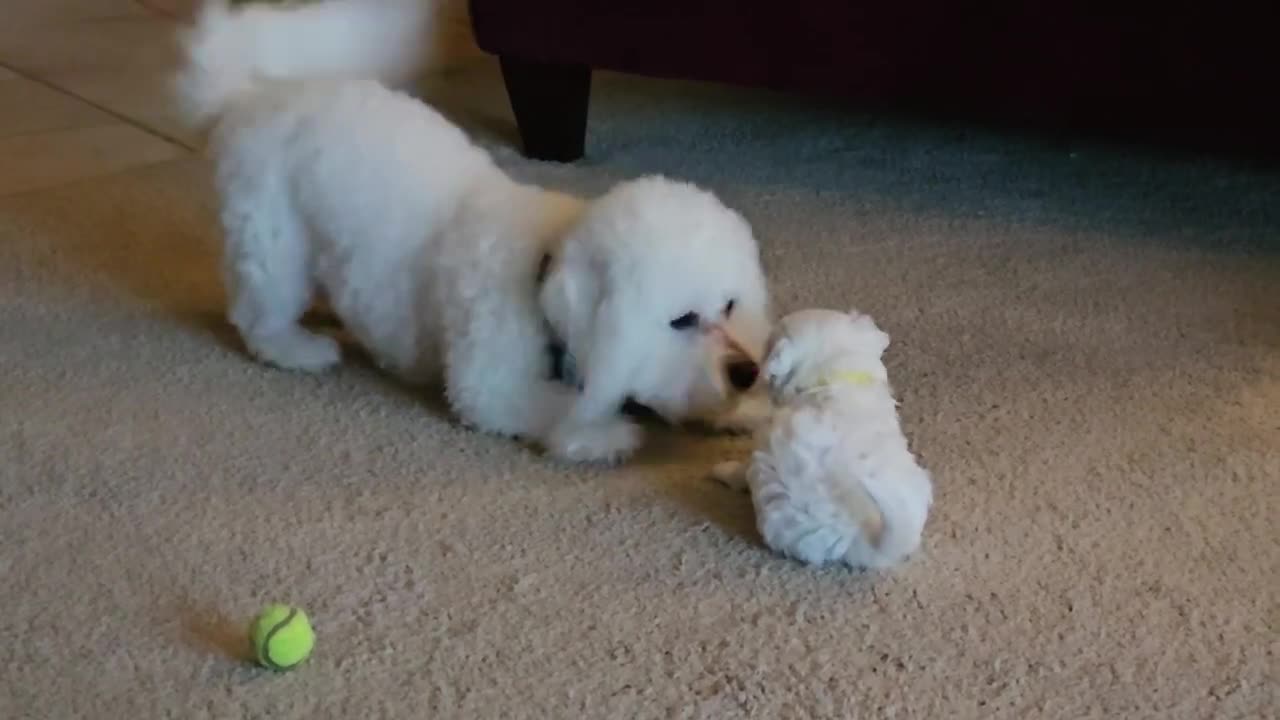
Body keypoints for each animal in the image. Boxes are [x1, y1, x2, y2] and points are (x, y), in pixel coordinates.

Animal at [170, 0, 768, 458]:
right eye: (682, 319)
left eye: (731, 305)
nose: (747, 371)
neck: (541, 275)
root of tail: (249, 95)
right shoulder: (491, 383)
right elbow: (552, 405)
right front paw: (601, 432)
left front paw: (749, 411)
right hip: (273, 238)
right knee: (261, 311)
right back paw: (296, 348)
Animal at [711, 307, 931, 566]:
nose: (756, 370)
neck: (832, 377)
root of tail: (869, 539)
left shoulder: (762, 446)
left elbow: (741, 469)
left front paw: (722, 469)